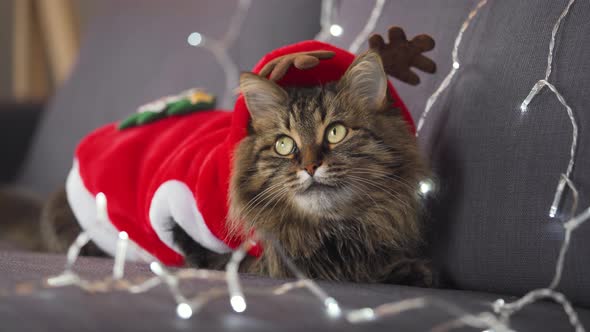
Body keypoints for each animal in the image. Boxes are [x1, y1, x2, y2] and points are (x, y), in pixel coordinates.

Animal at [41, 50, 438, 286]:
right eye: (284, 145)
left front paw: (409, 268)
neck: (330, 230)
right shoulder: (223, 253)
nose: (310, 166)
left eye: (336, 132)